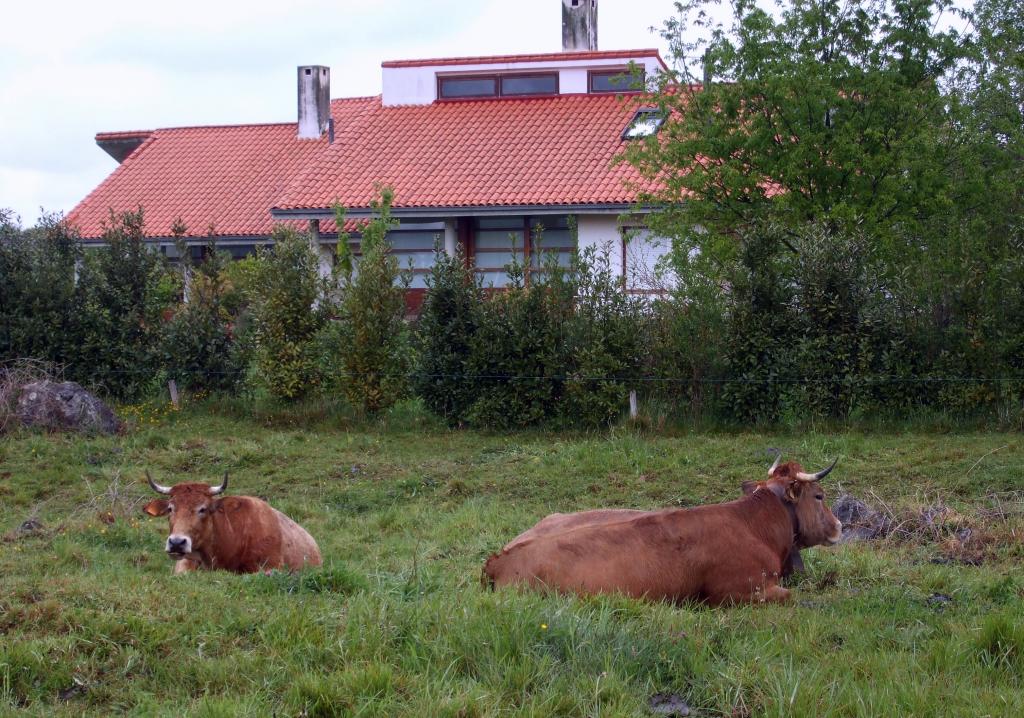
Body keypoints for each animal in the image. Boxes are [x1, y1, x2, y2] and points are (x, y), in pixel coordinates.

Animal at [481, 452, 839, 606]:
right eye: (819, 495)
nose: (838, 526)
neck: (754, 525)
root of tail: (497, 560)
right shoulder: (740, 590)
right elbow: (789, 595)